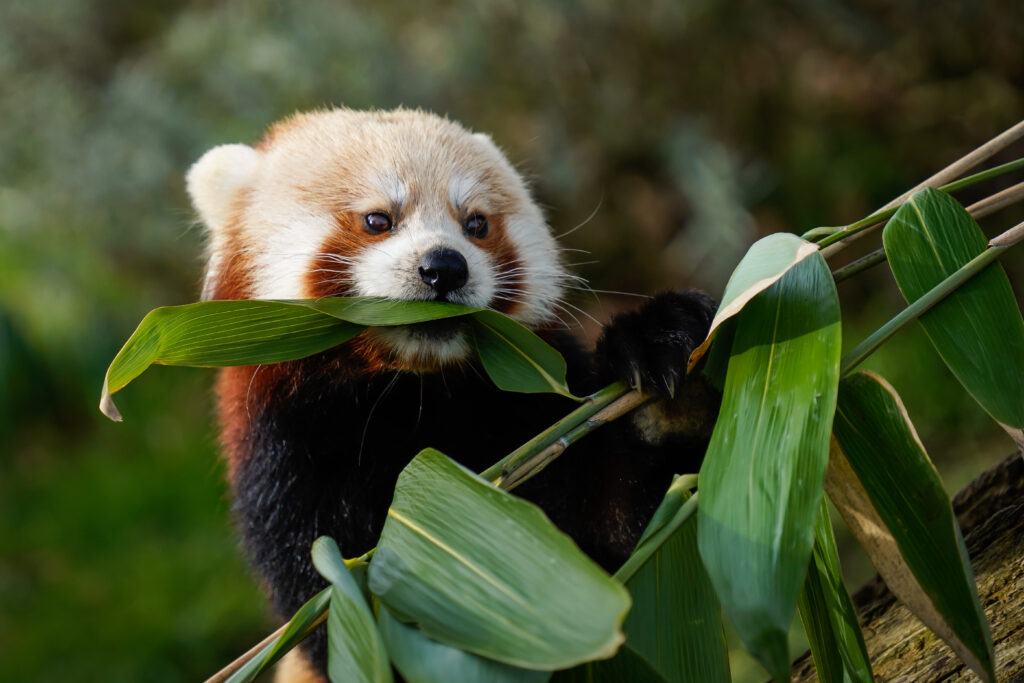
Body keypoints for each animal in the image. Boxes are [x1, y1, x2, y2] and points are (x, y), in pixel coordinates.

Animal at [186, 108, 719, 681]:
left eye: (476, 224)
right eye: (378, 220)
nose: (444, 266)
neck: (411, 397)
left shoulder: (531, 415)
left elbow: (613, 540)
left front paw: (667, 361)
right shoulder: (289, 463)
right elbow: (338, 610)